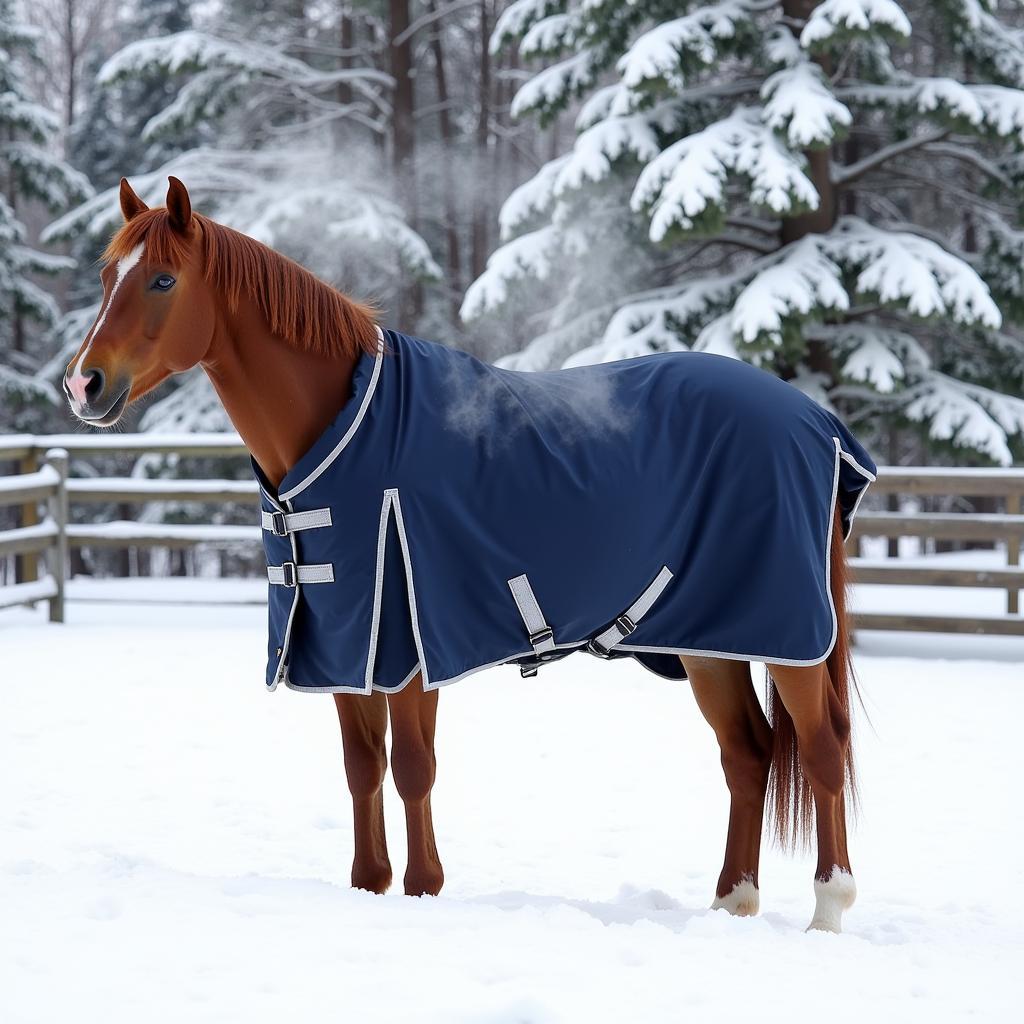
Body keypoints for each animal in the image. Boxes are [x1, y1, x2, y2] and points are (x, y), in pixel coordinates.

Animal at [64, 176, 868, 929]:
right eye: (108, 277)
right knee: (748, 754)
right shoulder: (348, 644)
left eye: (163, 280)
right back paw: (733, 901)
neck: (351, 432)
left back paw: (828, 909)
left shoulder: (411, 645)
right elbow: (362, 769)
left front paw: (424, 889)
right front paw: (370, 884)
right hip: (711, 640)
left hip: (789, 635)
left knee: (821, 746)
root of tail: (817, 423)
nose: (83, 383)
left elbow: (414, 769)